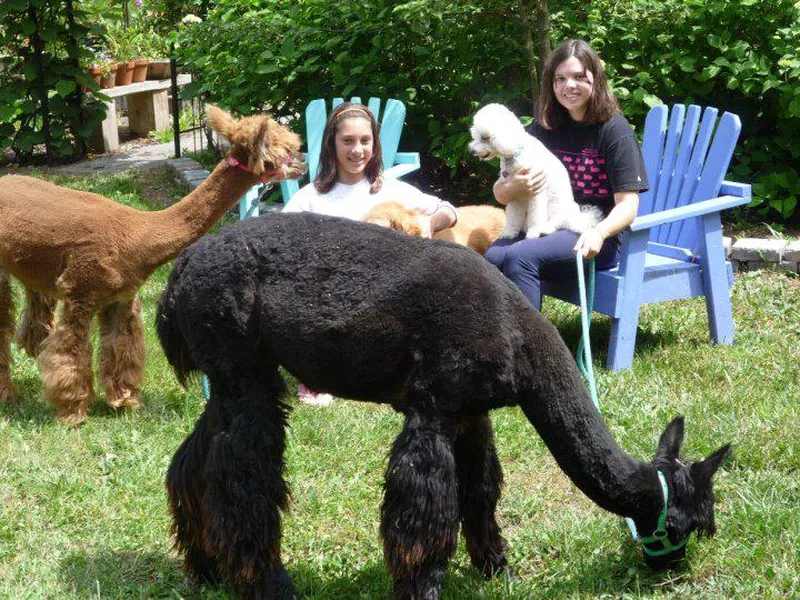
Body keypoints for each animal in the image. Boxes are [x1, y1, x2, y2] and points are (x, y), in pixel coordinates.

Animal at [466, 104, 596, 240]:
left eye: (485, 138)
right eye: (476, 136)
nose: (471, 151)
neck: (517, 153)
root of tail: (579, 219)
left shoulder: (537, 192)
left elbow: (536, 215)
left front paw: (533, 232)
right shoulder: (514, 192)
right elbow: (513, 215)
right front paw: (510, 232)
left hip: (562, 210)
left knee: (559, 222)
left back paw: (546, 228)